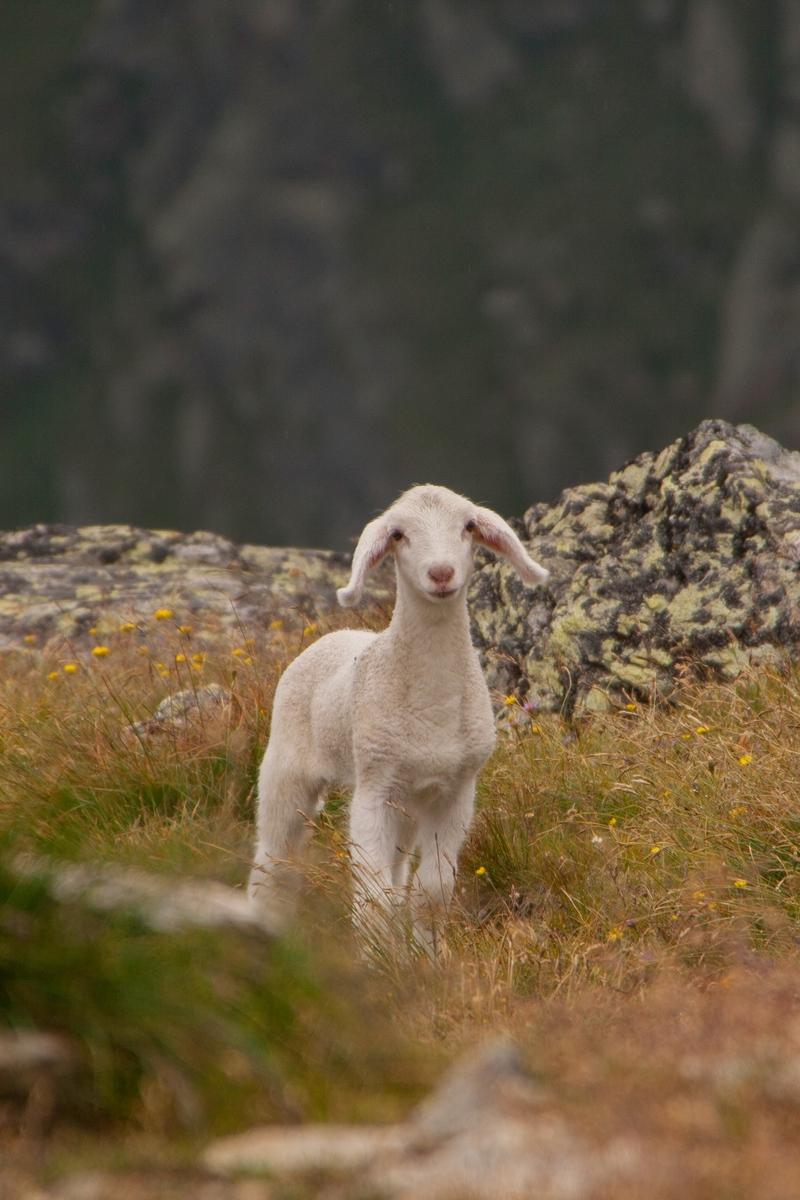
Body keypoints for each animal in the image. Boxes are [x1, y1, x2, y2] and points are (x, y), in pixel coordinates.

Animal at [248, 484, 549, 949]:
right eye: (398, 534)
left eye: (468, 526)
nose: (441, 573)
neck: (433, 705)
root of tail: (334, 635)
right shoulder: (374, 789)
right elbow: (374, 899)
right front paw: (378, 959)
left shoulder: (455, 791)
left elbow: (432, 892)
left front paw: (426, 956)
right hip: (287, 768)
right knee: (274, 858)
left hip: (407, 805)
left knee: (396, 869)